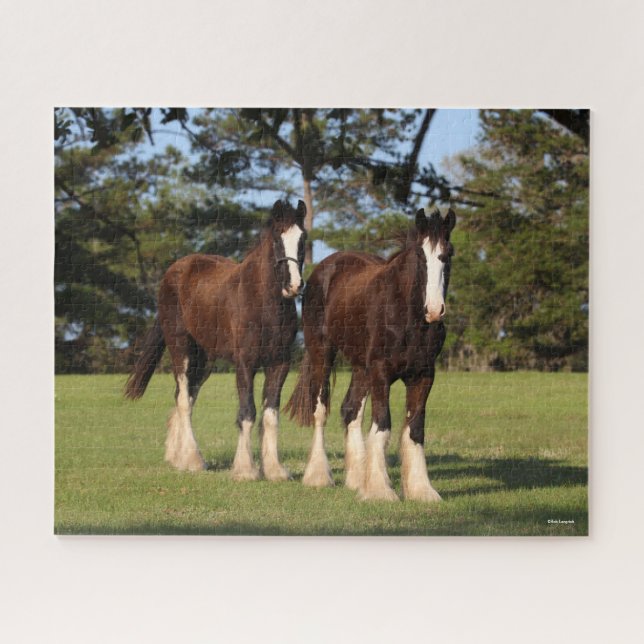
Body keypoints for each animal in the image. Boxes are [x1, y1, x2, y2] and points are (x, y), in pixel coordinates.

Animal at [125, 199, 307, 481]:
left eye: (303, 239)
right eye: (277, 238)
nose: (294, 286)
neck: (263, 303)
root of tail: (174, 271)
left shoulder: (280, 363)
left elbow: (270, 415)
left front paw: (274, 470)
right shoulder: (245, 363)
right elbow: (247, 412)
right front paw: (245, 469)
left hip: (205, 360)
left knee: (185, 396)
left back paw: (178, 457)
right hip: (181, 350)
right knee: (183, 399)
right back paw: (193, 460)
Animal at [285, 207, 455, 501]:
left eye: (449, 254)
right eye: (420, 255)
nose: (434, 310)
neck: (406, 315)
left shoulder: (424, 375)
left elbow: (415, 430)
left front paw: (421, 490)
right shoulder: (380, 372)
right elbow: (382, 425)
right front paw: (379, 490)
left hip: (360, 367)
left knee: (350, 410)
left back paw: (356, 479)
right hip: (322, 353)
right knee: (321, 410)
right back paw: (318, 476)